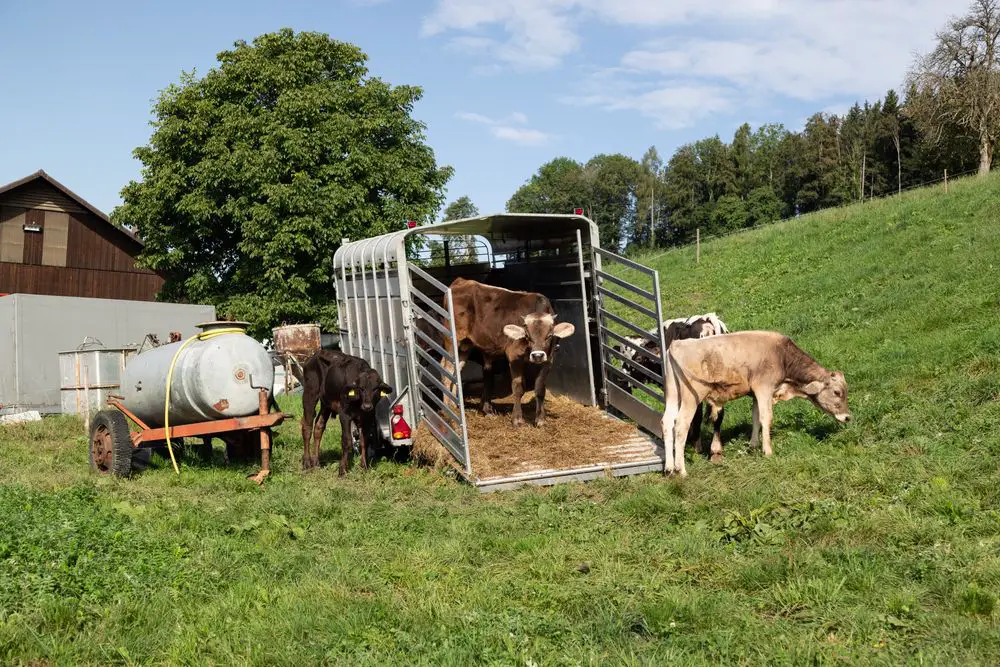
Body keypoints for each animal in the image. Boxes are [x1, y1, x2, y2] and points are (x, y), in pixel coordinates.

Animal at [442, 278, 576, 428]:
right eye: (527, 335)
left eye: (549, 335)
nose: (537, 355)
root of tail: (460, 281)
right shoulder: (514, 356)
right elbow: (518, 388)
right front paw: (517, 420)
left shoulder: (549, 359)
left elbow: (540, 388)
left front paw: (540, 419)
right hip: (452, 340)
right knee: (446, 370)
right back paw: (447, 408)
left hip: (465, 346)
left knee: (455, 371)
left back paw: (455, 405)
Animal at [664, 332, 852, 478]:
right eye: (837, 392)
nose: (848, 417)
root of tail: (677, 344)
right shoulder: (764, 388)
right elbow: (766, 417)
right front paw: (767, 451)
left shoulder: (755, 393)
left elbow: (756, 418)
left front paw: (753, 446)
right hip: (691, 397)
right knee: (681, 425)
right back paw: (681, 470)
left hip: (673, 395)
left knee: (667, 423)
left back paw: (669, 468)